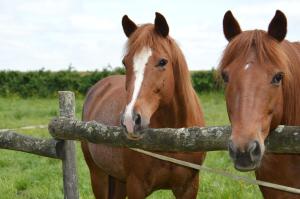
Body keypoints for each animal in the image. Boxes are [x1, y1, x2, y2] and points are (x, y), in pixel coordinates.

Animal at [81, 12, 205, 199]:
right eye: (125, 62)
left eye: (162, 62)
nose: (130, 120)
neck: (172, 137)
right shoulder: (136, 186)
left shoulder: (189, 188)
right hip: (98, 176)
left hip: (118, 181)